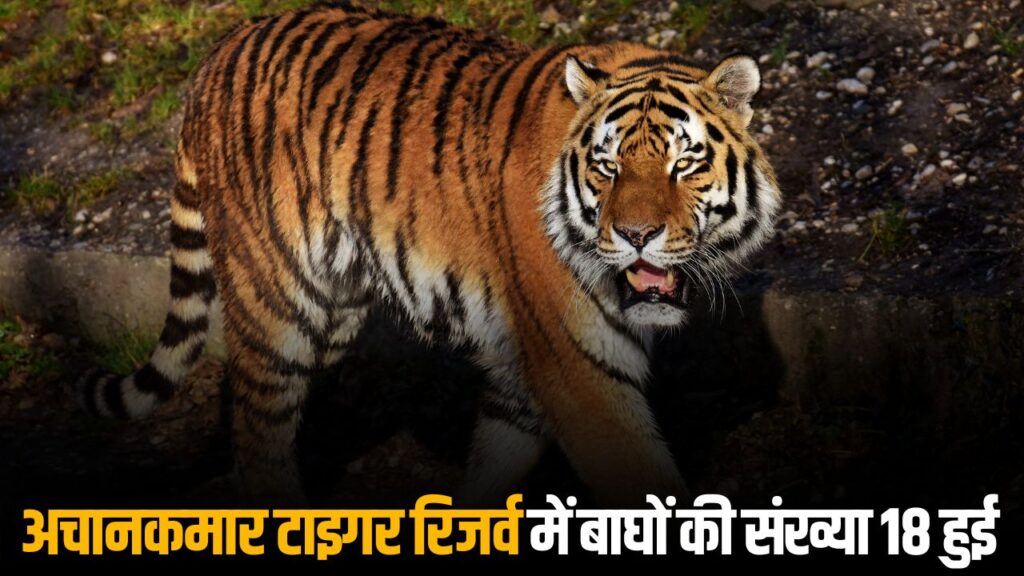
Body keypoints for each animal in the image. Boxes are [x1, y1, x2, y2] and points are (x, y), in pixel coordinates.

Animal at [78, 2, 781, 506]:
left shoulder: (526, 378)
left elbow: (492, 467)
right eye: (607, 168)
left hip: (334, 314)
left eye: (684, 164)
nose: (636, 236)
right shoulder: (582, 372)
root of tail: (218, 52)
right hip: (278, 306)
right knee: (256, 443)